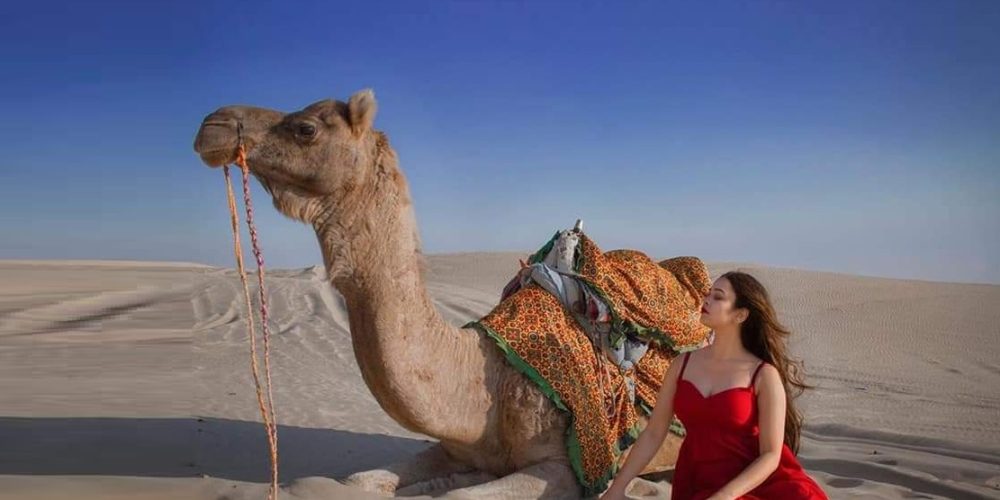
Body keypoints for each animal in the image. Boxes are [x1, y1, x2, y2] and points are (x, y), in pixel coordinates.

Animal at [193, 89, 684, 498]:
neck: (484, 383)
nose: (212, 123)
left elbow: (459, 495)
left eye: (306, 128)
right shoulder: (453, 448)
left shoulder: (563, 468)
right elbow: (359, 480)